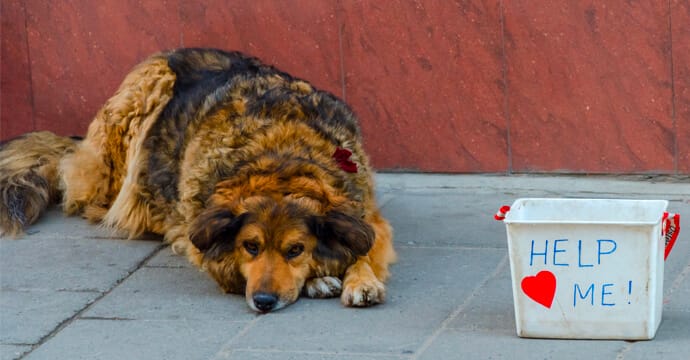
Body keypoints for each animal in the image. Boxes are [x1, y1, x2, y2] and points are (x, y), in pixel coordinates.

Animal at [0, 47, 396, 312]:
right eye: (249, 247)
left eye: (295, 249)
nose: (263, 301)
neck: (281, 158)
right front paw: (319, 278)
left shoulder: (366, 213)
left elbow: (365, 247)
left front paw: (361, 279)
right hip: (147, 90)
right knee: (99, 202)